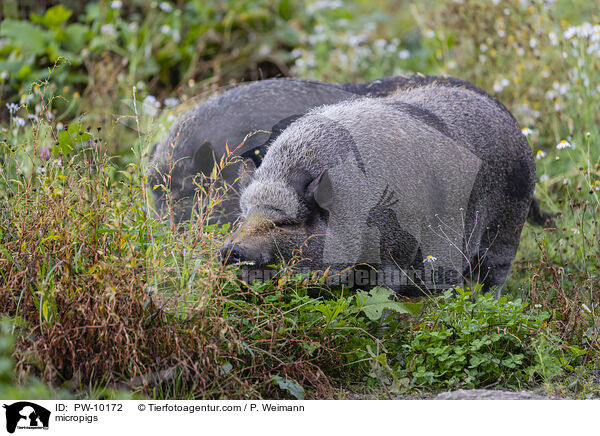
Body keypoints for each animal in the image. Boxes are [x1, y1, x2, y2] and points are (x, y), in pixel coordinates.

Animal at [221, 82, 540, 294]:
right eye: (244, 217)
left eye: (287, 223)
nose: (230, 249)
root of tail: (511, 122)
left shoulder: (394, 254)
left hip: (508, 226)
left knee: (494, 277)